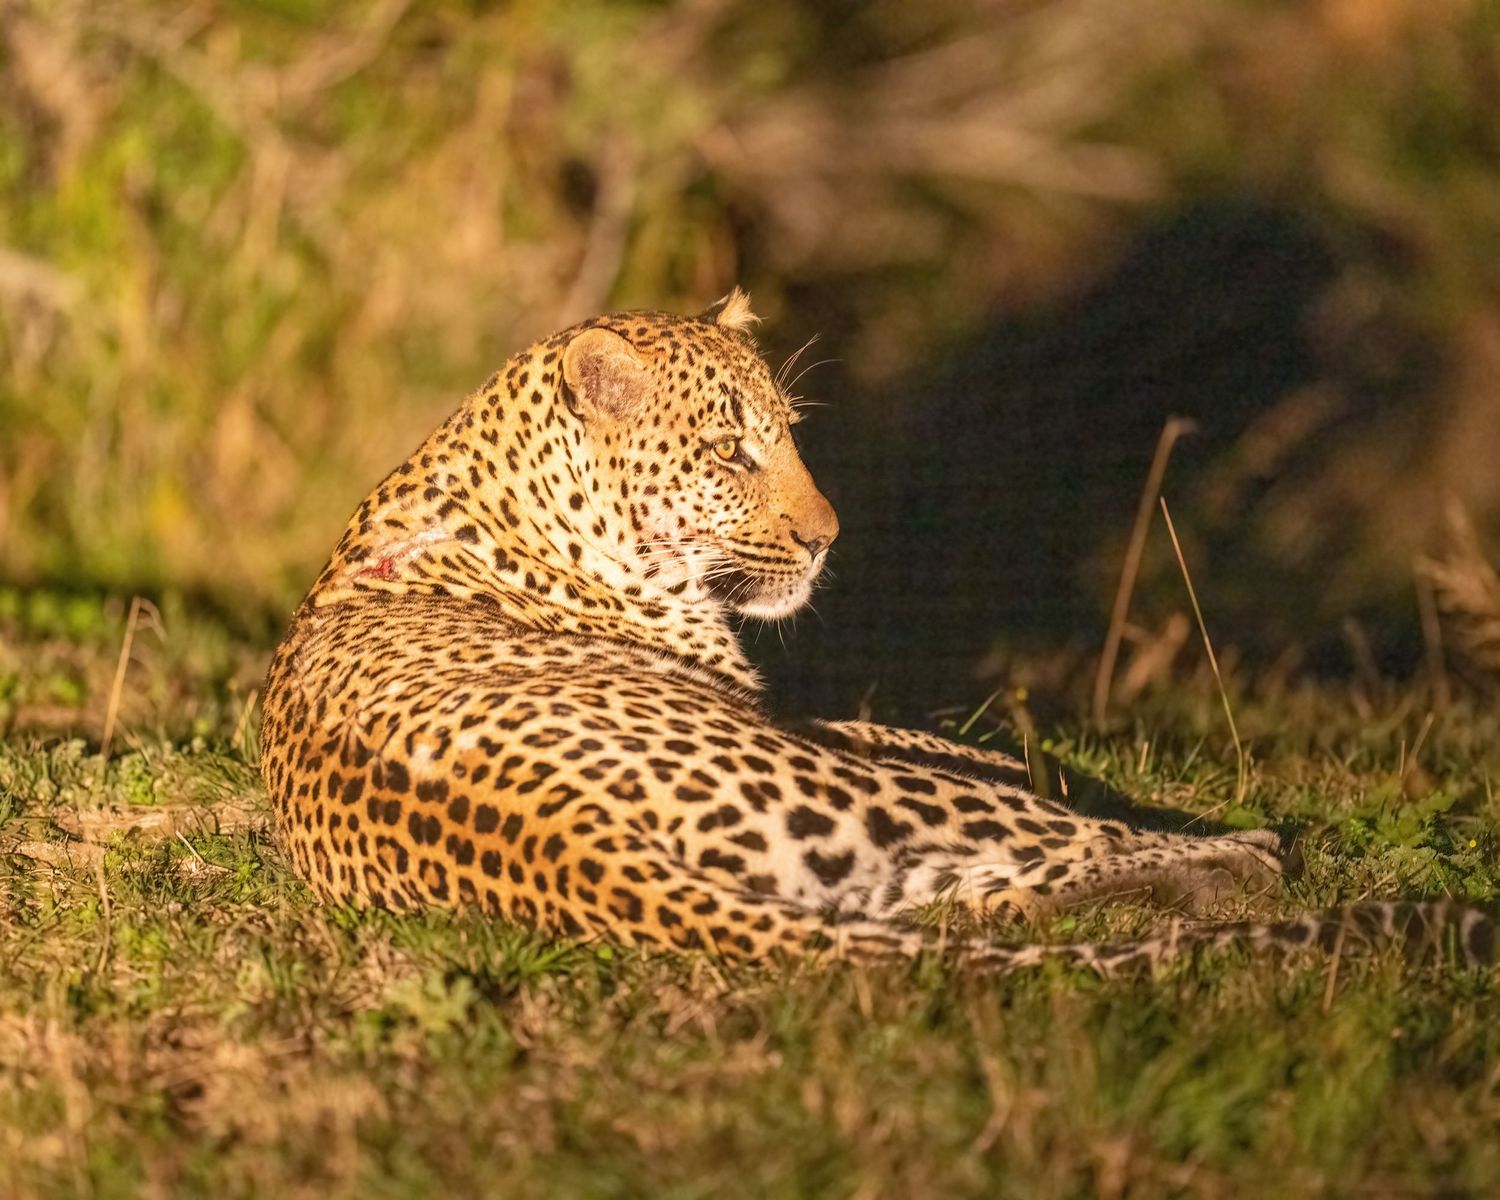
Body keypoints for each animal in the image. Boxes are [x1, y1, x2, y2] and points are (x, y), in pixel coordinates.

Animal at [259, 290, 1492, 975]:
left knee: (991, 899)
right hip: (843, 794)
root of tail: (565, 842)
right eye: (730, 453)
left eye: (788, 432)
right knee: (1056, 847)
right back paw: (1245, 859)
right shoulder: (811, 726)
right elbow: (962, 752)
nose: (826, 537)